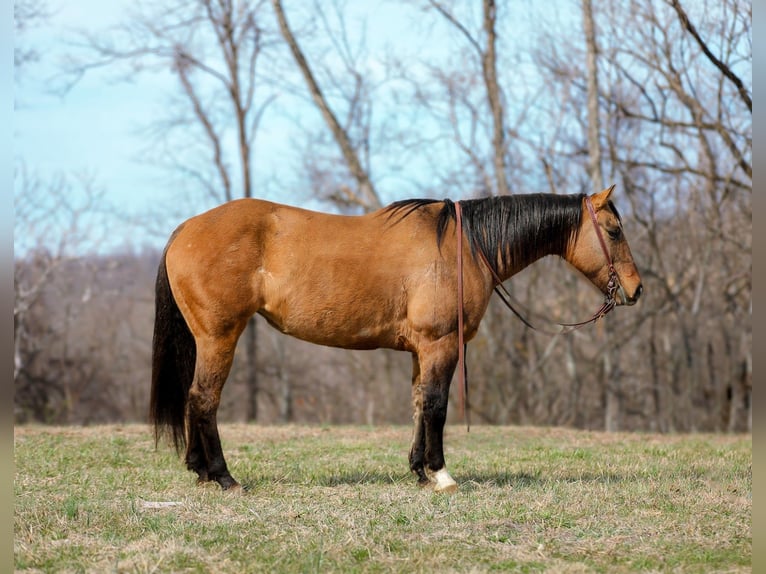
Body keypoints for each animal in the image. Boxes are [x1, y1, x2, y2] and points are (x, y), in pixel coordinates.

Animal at [150, 185, 642, 493]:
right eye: (614, 231)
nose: (636, 290)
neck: (464, 247)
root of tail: (184, 230)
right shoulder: (441, 343)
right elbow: (437, 406)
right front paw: (441, 475)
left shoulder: (420, 350)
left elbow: (419, 404)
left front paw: (419, 471)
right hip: (220, 336)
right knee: (205, 399)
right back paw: (223, 477)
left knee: (195, 398)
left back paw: (200, 471)